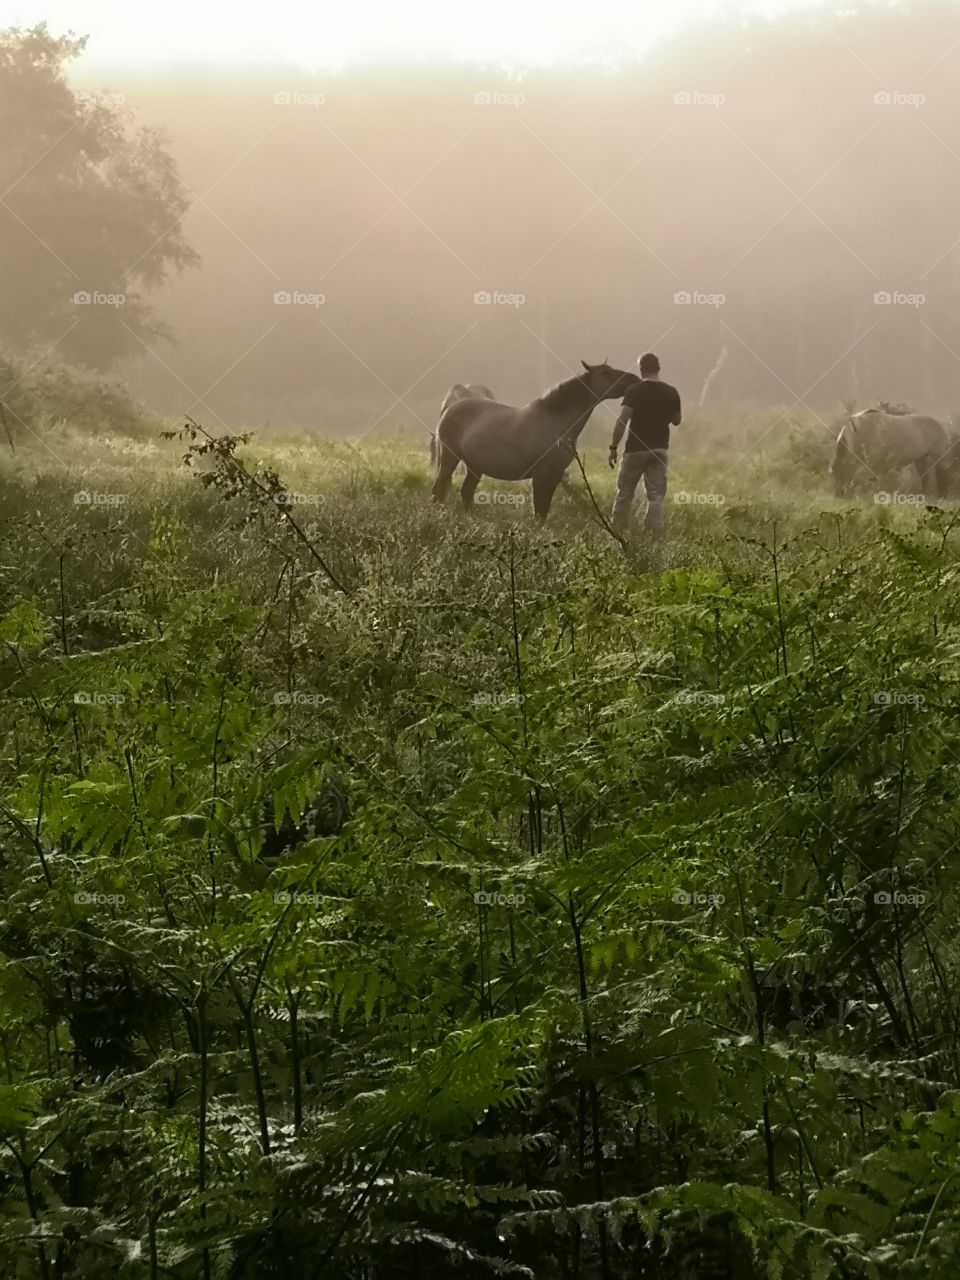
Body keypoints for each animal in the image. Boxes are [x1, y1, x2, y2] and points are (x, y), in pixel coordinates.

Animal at [432, 360, 640, 519]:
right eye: (606, 372)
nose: (635, 379)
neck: (555, 423)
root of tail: (451, 407)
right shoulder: (541, 475)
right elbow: (539, 507)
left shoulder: (555, 475)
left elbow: (544, 508)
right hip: (449, 459)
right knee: (438, 491)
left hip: (475, 466)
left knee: (466, 492)